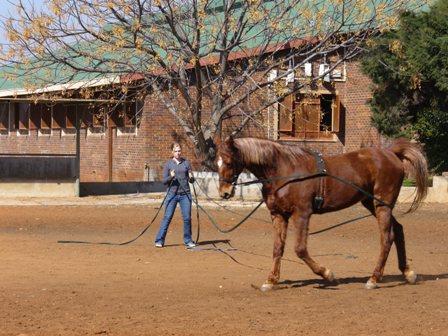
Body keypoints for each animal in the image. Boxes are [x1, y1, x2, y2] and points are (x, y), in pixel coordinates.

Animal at [219, 138, 428, 290]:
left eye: (228, 161)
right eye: (217, 161)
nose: (224, 192)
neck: (285, 171)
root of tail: (390, 153)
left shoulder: (302, 214)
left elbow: (300, 249)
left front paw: (327, 274)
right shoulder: (278, 215)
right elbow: (278, 248)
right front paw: (271, 281)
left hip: (382, 205)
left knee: (387, 238)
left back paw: (374, 279)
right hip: (373, 203)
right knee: (398, 230)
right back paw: (407, 273)